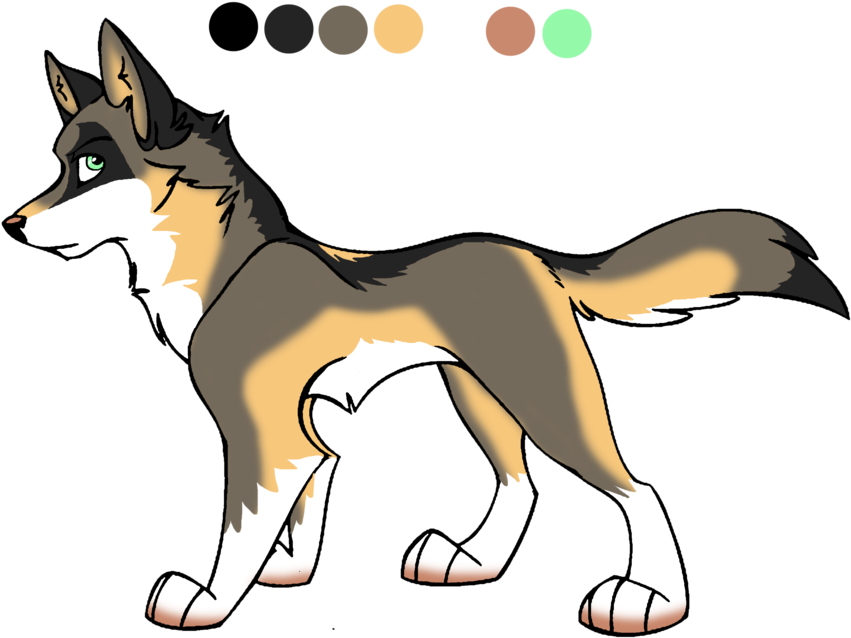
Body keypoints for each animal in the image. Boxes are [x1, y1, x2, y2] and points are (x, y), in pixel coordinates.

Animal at [5, 18, 846, 633]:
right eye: (59, 164)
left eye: (91, 167)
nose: (13, 225)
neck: (224, 271)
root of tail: (535, 257)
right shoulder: (305, 436)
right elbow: (305, 507)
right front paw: (291, 570)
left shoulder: (265, 435)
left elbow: (239, 526)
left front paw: (211, 601)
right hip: (476, 393)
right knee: (518, 483)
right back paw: (472, 561)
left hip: (543, 394)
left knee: (633, 486)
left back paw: (651, 601)